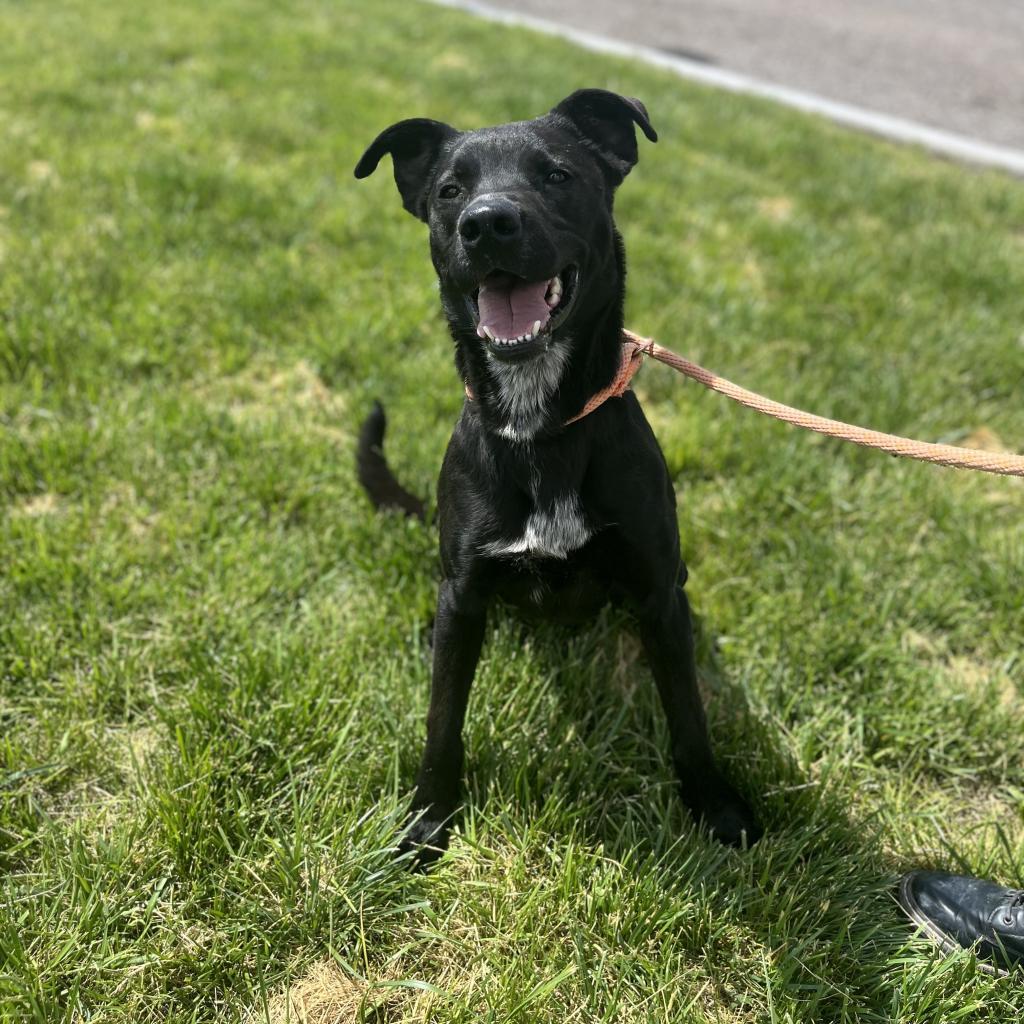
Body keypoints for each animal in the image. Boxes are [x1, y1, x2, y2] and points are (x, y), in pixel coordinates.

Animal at [352, 88, 761, 860]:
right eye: (450, 191)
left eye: (556, 176)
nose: (487, 224)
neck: (537, 423)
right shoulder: (465, 593)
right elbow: (442, 720)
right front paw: (429, 820)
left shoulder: (658, 591)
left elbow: (688, 712)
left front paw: (714, 803)